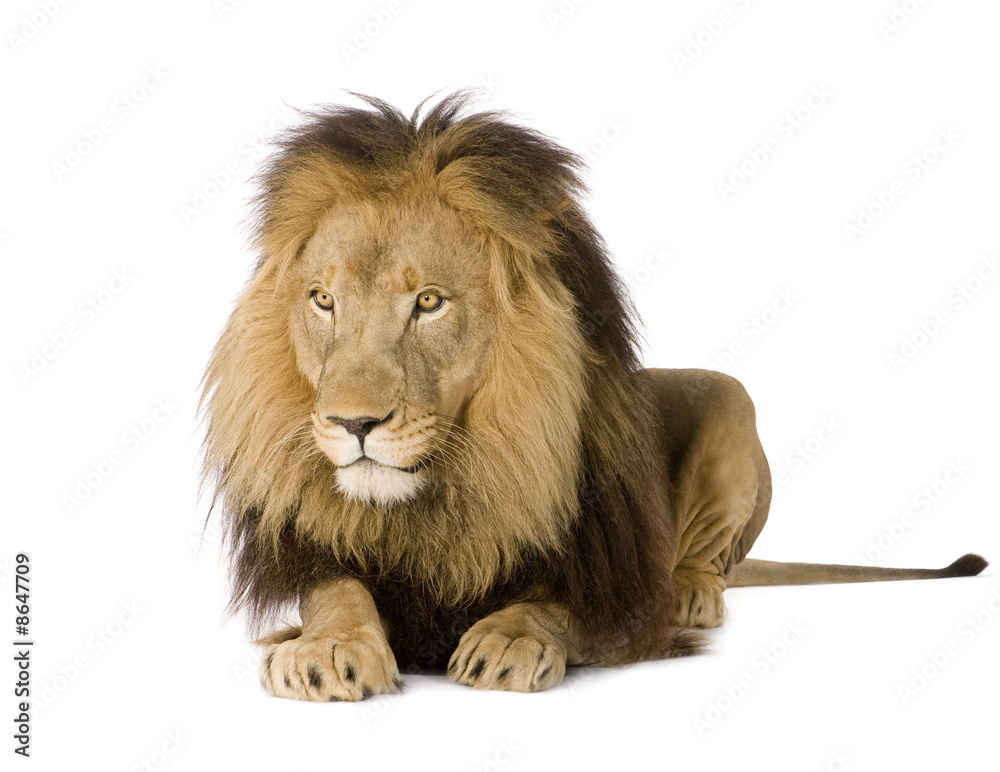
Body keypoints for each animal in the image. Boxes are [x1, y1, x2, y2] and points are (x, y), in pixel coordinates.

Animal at [201, 93, 987, 701]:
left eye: (428, 302)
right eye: (323, 300)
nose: (352, 422)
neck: (452, 488)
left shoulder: (619, 586)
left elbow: (557, 606)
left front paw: (508, 641)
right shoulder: (327, 556)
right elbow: (336, 593)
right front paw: (324, 649)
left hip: (731, 399)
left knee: (712, 558)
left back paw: (694, 589)